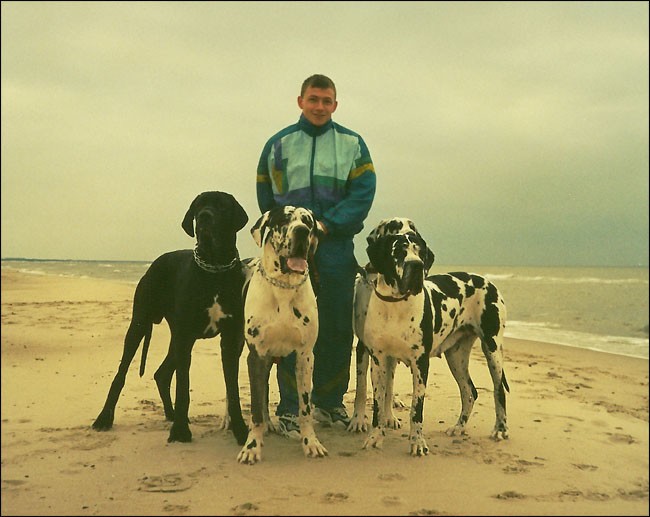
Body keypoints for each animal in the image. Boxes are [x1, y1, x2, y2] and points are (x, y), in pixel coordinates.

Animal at [92, 191, 249, 446]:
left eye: (222, 206)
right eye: (198, 206)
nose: (204, 217)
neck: (214, 268)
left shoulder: (230, 339)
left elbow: (233, 390)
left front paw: (241, 431)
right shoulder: (186, 338)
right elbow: (183, 387)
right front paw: (180, 431)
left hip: (177, 337)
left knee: (162, 374)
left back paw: (172, 414)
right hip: (140, 325)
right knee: (121, 375)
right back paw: (105, 418)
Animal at [236, 205, 327, 464]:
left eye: (307, 222)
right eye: (284, 220)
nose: (302, 231)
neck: (284, 287)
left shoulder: (305, 356)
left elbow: (304, 407)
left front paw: (311, 442)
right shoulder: (255, 355)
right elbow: (255, 406)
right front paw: (252, 447)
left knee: (265, 390)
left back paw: (269, 424)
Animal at [349, 218, 435, 433]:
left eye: (413, 228)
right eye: (394, 227)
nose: (410, 235)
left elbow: (387, 386)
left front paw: (387, 416)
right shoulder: (364, 346)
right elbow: (361, 387)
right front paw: (358, 419)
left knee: (390, 382)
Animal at [355, 226, 509, 456]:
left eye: (420, 252)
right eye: (398, 252)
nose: (416, 266)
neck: (395, 305)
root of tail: (488, 281)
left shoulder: (420, 363)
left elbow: (416, 410)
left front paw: (417, 442)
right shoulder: (379, 362)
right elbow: (378, 405)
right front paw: (375, 437)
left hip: (492, 349)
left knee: (499, 390)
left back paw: (500, 429)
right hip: (456, 357)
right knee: (469, 392)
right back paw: (459, 427)